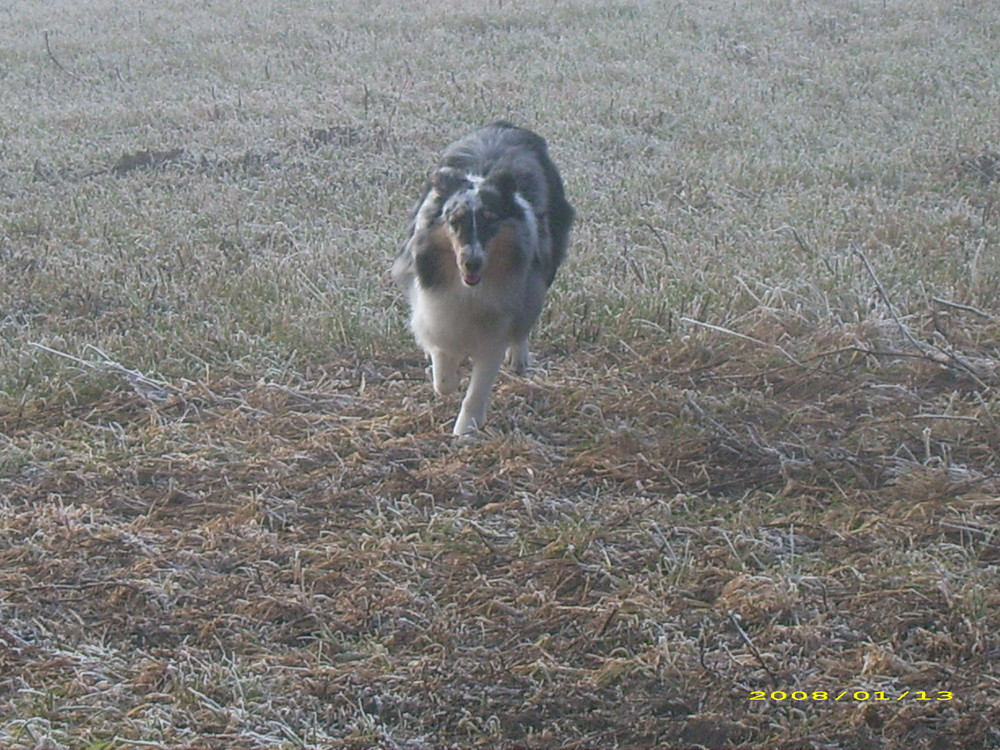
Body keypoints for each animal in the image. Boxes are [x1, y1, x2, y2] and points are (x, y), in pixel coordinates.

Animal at [392, 121, 576, 438]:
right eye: (454, 221)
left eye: (491, 221)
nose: (472, 262)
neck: (469, 289)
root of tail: (505, 125)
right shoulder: (436, 308)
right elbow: (443, 372)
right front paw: (448, 378)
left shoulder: (497, 326)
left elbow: (477, 387)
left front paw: (465, 431)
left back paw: (519, 358)